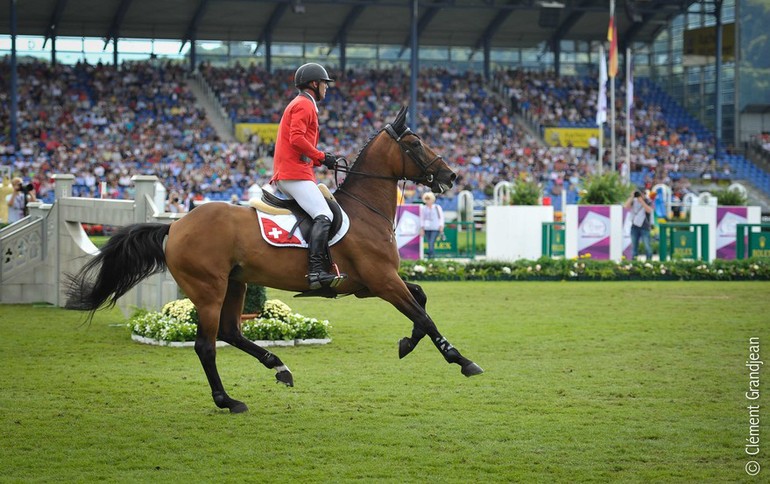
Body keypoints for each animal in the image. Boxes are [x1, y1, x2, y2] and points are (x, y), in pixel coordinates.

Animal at [69, 106, 484, 412]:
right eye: (415, 142)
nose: (451, 175)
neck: (365, 209)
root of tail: (175, 225)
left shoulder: (368, 284)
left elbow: (421, 300)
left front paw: (406, 344)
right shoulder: (382, 281)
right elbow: (424, 315)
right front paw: (461, 360)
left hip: (236, 283)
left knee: (231, 332)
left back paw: (279, 367)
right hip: (208, 289)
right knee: (207, 345)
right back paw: (228, 401)